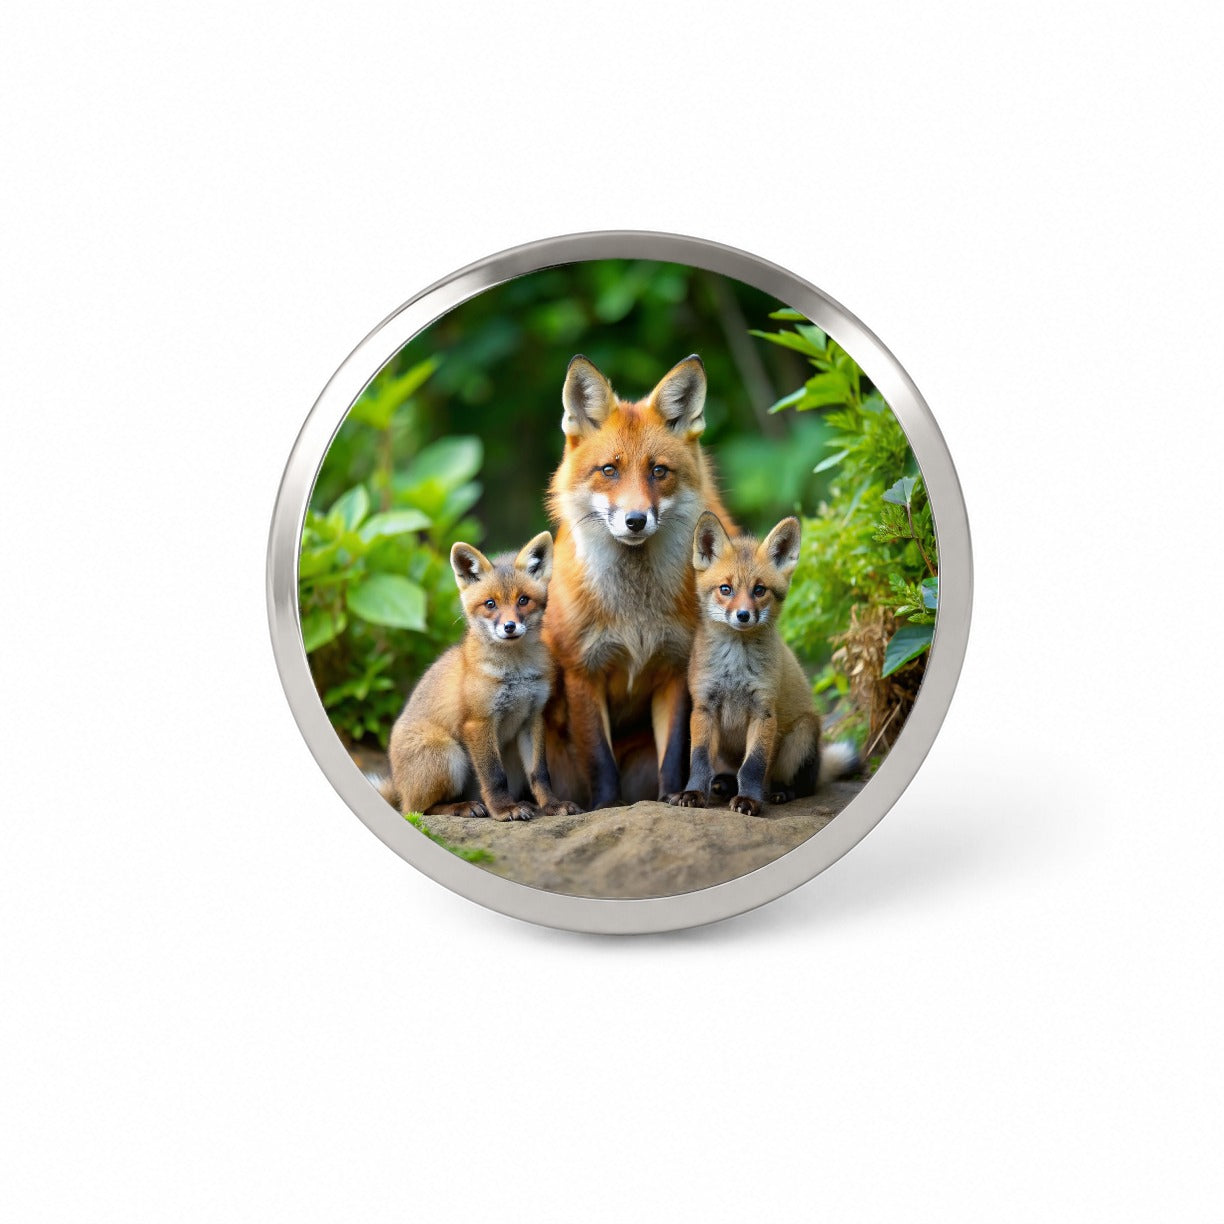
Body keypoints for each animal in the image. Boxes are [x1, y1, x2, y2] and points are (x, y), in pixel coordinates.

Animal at [380, 530, 581, 822]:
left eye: (523, 600)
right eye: (490, 604)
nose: (509, 627)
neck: (515, 672)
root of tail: (398, 786)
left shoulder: (532, 718)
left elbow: (540, 774)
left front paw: (551, 806)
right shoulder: (479, 721)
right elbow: (494, 777)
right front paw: (504, 809)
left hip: (508, 756)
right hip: (449, 756)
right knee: (419, 810)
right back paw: (464, 807)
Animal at [543, 354, 736, 808]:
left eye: (659, 471)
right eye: (609, 470)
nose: (635, 520)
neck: (635, 614)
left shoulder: (676, 668)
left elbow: (676, 752)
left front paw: (673, 797)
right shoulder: (583, 670)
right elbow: (599, 759)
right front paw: (604, 807)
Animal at [667, 512, 859, 817]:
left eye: (759, 590)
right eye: (725, 589)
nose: (743, 615)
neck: (734, 666)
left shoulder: (763, 711)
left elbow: (753, 766)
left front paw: (749, 800)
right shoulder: (703, 707)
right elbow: (698, 760)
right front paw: (694, 793)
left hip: (801, 736)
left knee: (801, 786)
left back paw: (780, 792)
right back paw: (724, 785)